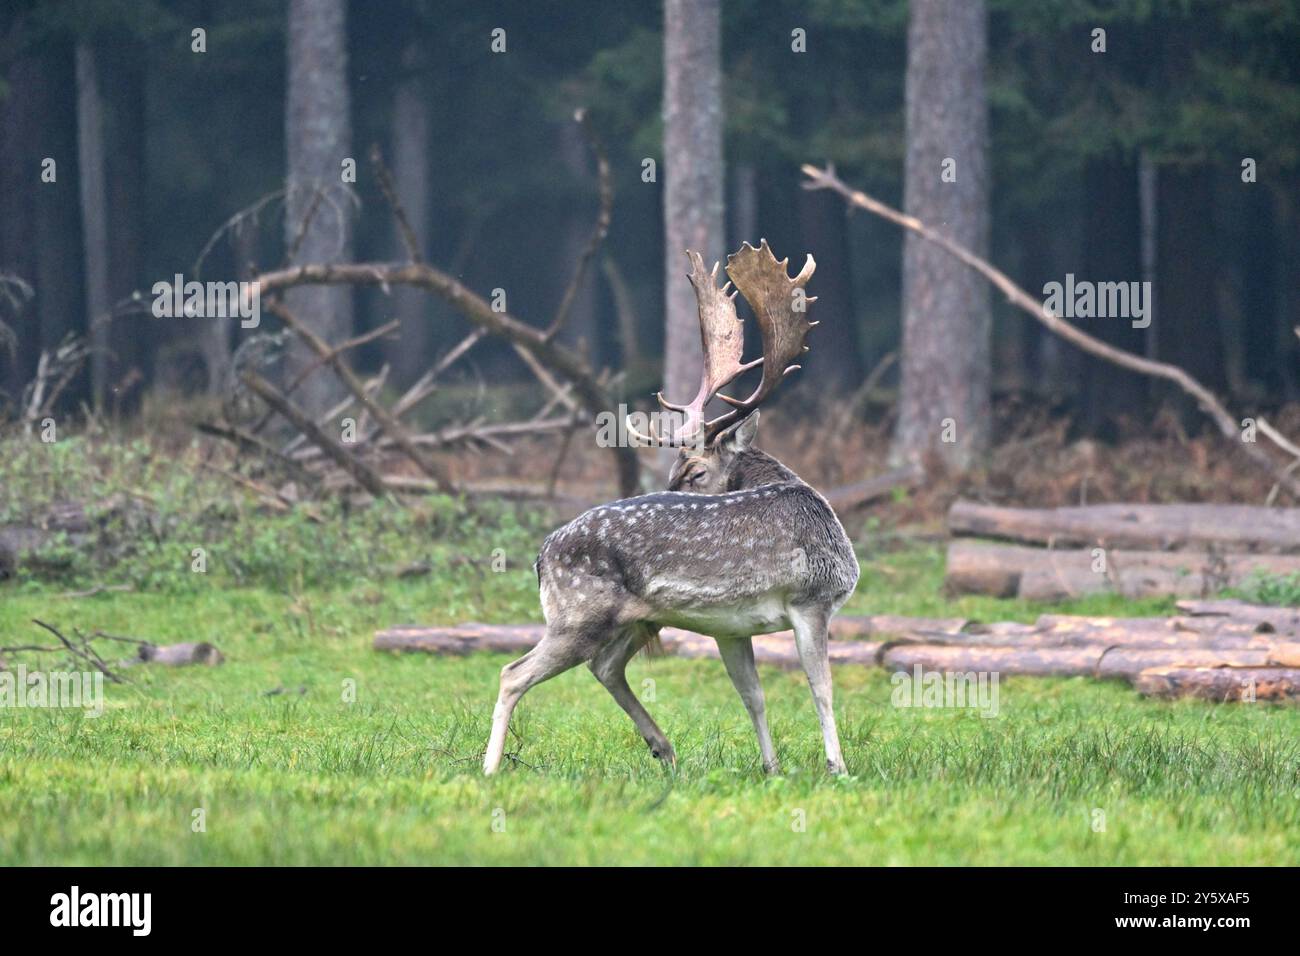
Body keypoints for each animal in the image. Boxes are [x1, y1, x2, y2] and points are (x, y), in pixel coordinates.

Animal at [483, 240, 859, 776]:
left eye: (692, 471)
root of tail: (540, 556)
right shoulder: (813, 598)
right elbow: (821, 689)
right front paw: (838, 768)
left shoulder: (731, 627)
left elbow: (753, 696)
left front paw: (772, 768)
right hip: (577, 614)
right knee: (513, 672)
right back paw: (490, 768)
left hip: (639, 618)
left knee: (604, 667)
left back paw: (663, 747)